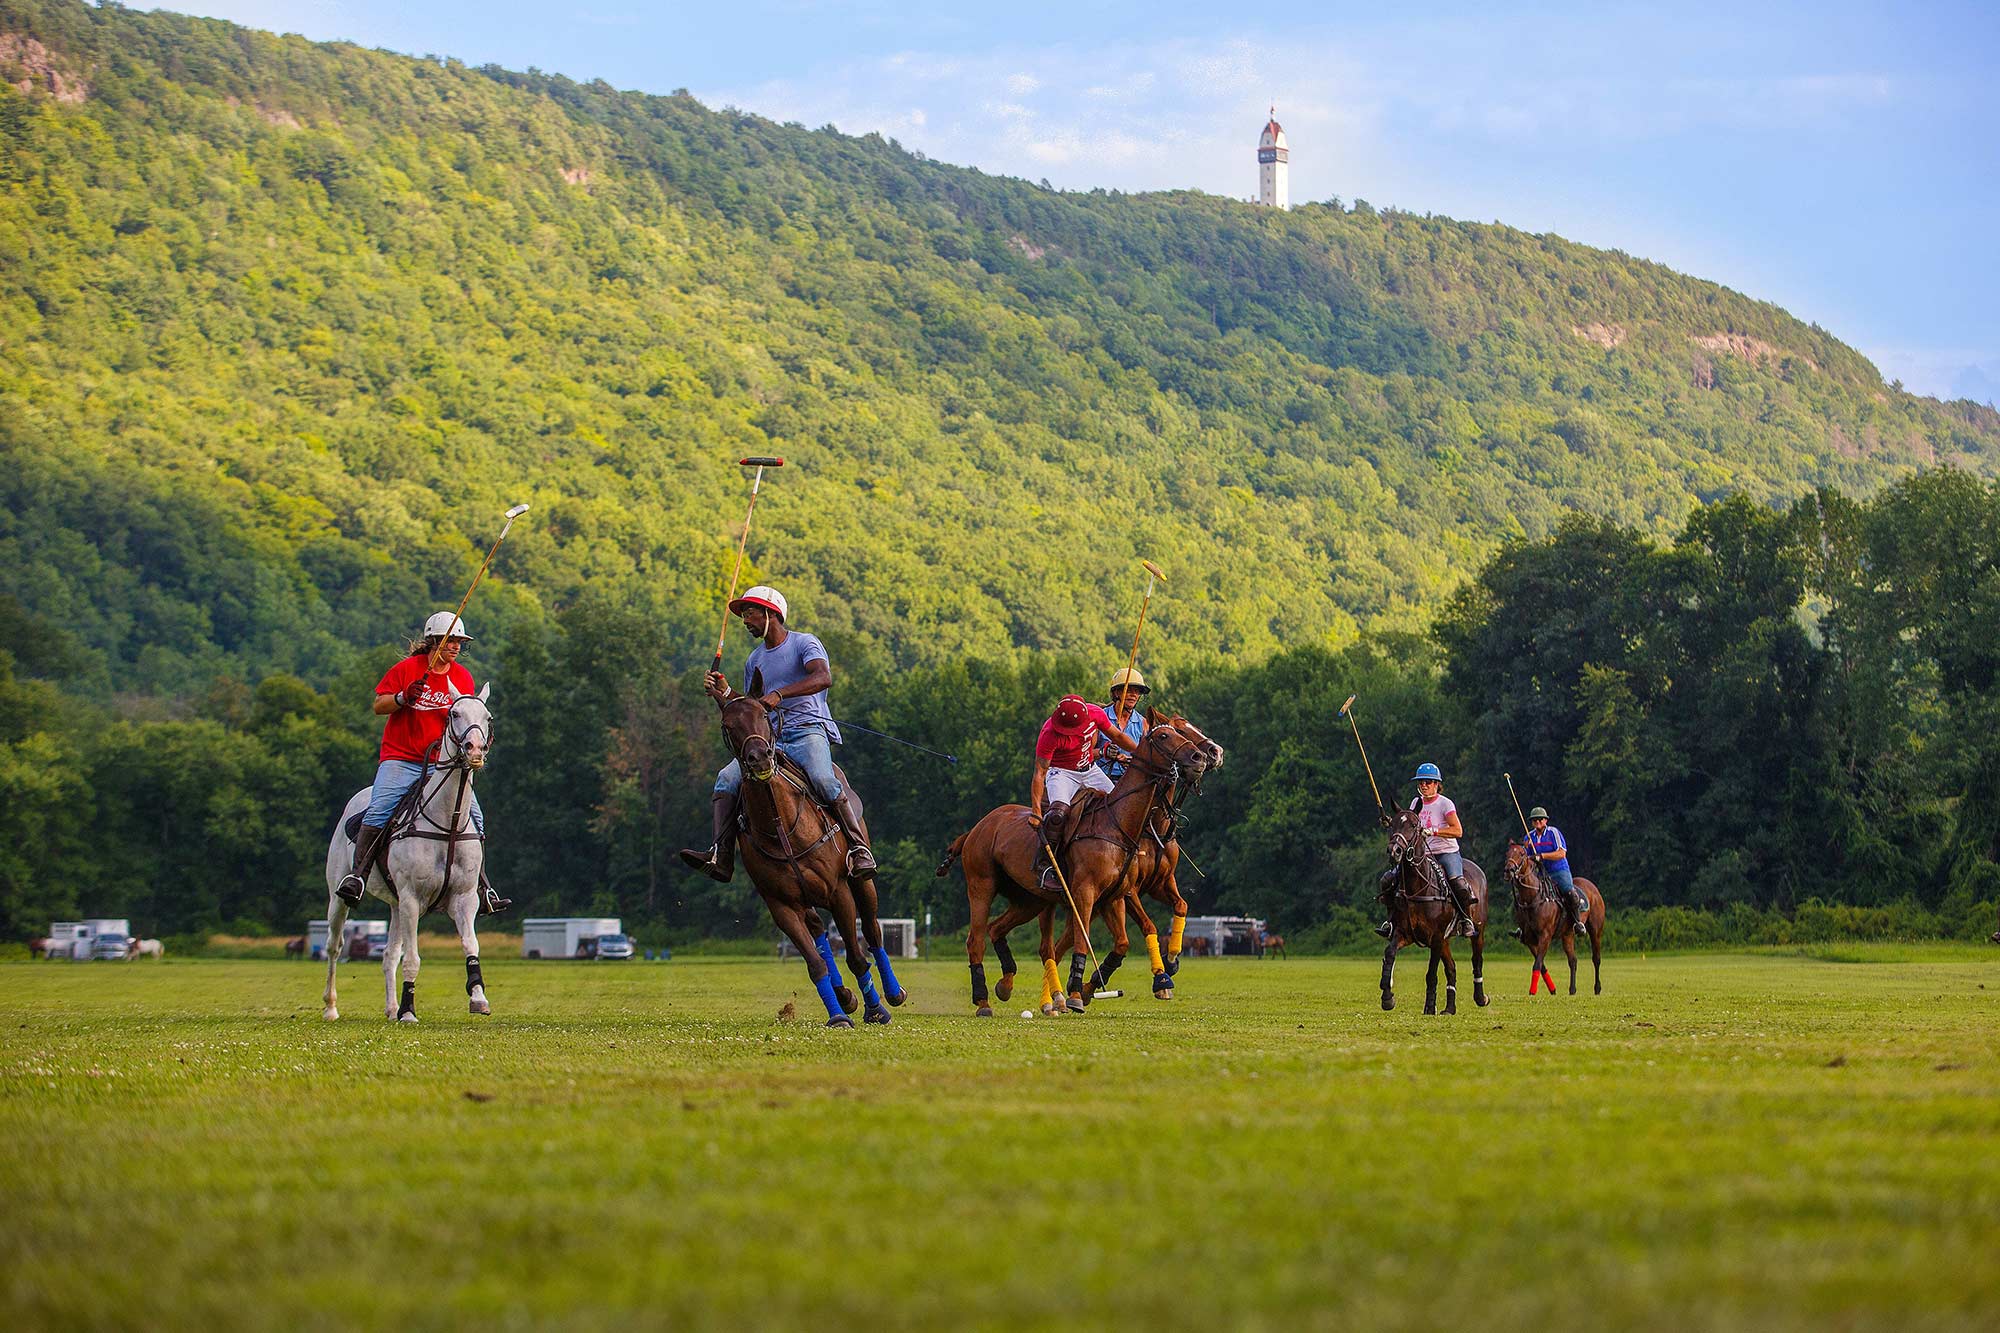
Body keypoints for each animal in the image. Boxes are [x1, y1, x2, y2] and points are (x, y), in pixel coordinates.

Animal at [320, 680, 496, 1020]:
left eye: (488, 717)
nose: (474, 750)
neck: (448, 824)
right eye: (454, 713)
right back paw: (331, 1007)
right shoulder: (413, 897)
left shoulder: (464, 898)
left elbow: (471, 946)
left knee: (389, 954)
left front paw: (478, 997)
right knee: (335, 945)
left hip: (396, 904)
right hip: (340, 895)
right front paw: (409, 1010)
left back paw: (390, 1009)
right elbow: (413, 959)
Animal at [720, 688, 908, 1020]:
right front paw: (839, 1015)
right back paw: (843, 995)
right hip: (805, 898)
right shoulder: (781, 904)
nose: (760, 758)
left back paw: (893, 993)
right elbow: (815, 962)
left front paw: (875, 1010)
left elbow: (857, 957)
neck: (780, 824)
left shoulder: (838, 891)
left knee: (872, 930)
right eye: (728, 725)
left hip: (861, 882)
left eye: (764, 715)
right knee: (819, 930)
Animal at [940, 720, 1216, 1012]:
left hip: (1029, 900)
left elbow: (1126, 940)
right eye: (1165, 735)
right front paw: (1079, 993)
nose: (1203, 756)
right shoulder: (1089, 892)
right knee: (980, 941)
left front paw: (1164, 967)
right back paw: (988, 1001)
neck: (1123, 825)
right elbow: (1101, 937)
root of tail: (975, 829)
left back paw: (1012, 987)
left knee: (1005, 931)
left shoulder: (1117, 895)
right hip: (982, 885)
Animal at [1384, 804, 1496, 1012]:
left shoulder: (1435, 936)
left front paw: (1429, 1008)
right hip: (1446, 939)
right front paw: (1387, 997)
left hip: (1478, 930)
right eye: (1392, 823)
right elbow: (1389, 953)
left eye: (1414, 825)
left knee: (1476, 960)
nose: (1394, 850)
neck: (1417, 888)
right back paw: (1449, 1009)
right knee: (1451, 968)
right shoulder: (1404, 932)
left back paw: (1480, 998)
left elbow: (1431, 973)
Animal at [1504, 836, 1608, 992]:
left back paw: (1597, 988)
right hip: (1567, 934)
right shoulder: (1529, 939)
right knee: (1573, 960)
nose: (1508, 870)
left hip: (1596, 929)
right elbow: (1541, 965)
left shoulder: (1545, 935)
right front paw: (1552, 989)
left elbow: (1537, 964)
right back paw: (1572, 990)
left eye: (1522, 853)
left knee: (1596, 958)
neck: (1533, 898)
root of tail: (1592, 886)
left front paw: (1532, 992)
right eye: (1507, 853)